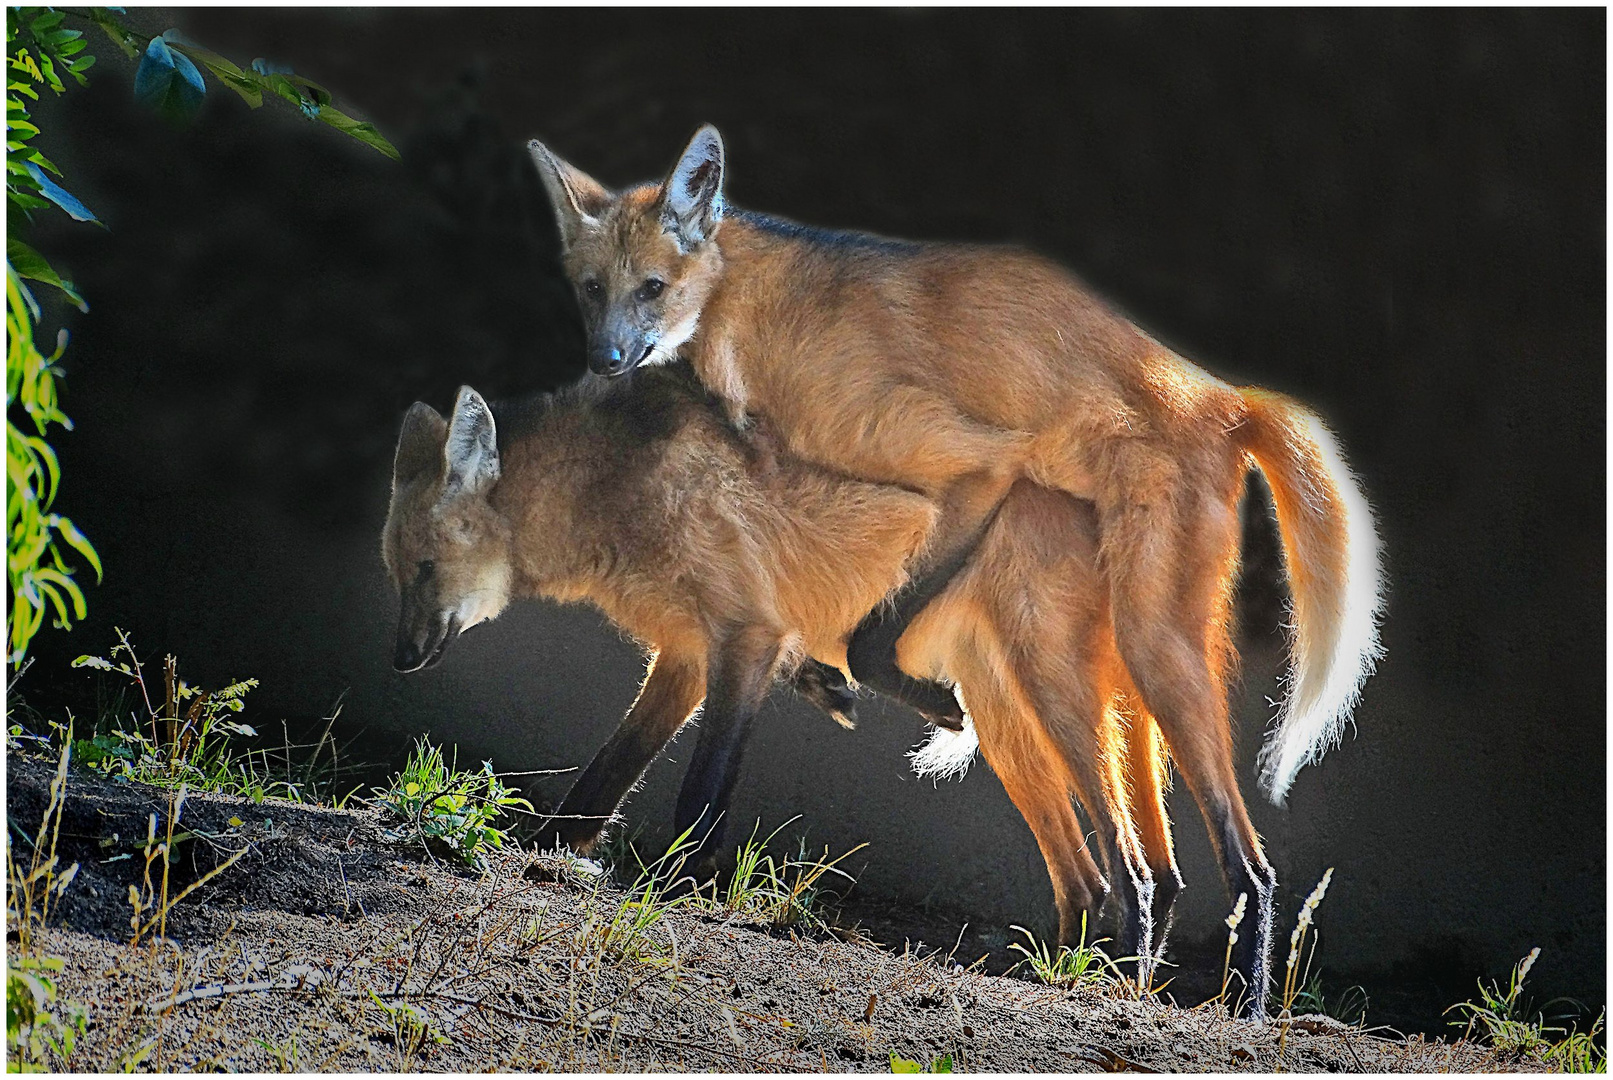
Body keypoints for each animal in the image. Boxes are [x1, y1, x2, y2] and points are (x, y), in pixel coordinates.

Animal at [377, 367, 1271, 1012]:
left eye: (423, 569)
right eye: (397, 573)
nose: (401, 659)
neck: (616, 490)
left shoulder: (743, 640)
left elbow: (698, 795)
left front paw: (680, 889)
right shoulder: (686, 658)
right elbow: (600, 783)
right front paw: (547, 856)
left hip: (1051, 695)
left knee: (1139, 871)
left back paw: (1126, 983)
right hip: (1008, 715)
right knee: (1088, 877)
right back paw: (1059, 970)